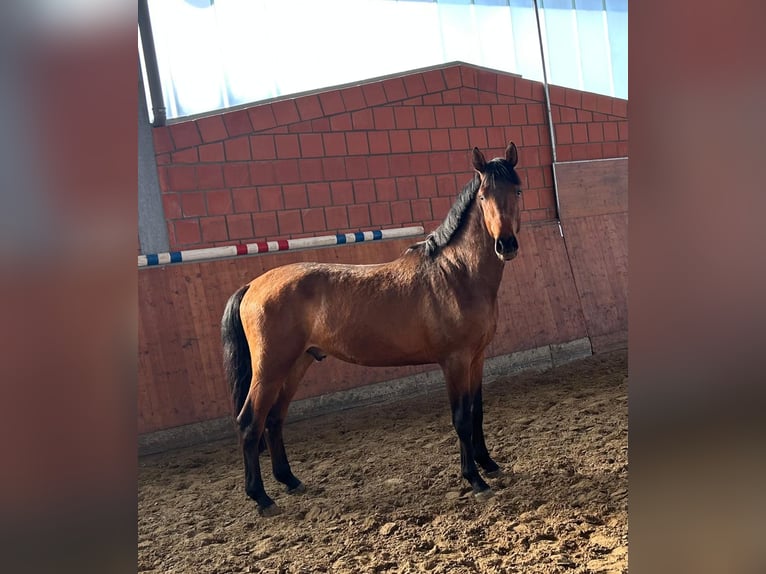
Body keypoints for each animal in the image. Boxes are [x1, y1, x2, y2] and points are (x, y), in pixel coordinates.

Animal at [221, 142, 523, 516]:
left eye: (517, 190)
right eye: (483, 196)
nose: (506, 244)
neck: (456, 273)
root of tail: (252, 285)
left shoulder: (477, 358)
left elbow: (477, 412)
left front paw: (490, 465)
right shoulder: (454, 361)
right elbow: (461, 418)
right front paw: (475, 480)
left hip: (296, 364)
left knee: (275, 419)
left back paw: (290, 481)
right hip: (270, 369)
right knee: (251, 422)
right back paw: (262, 498)